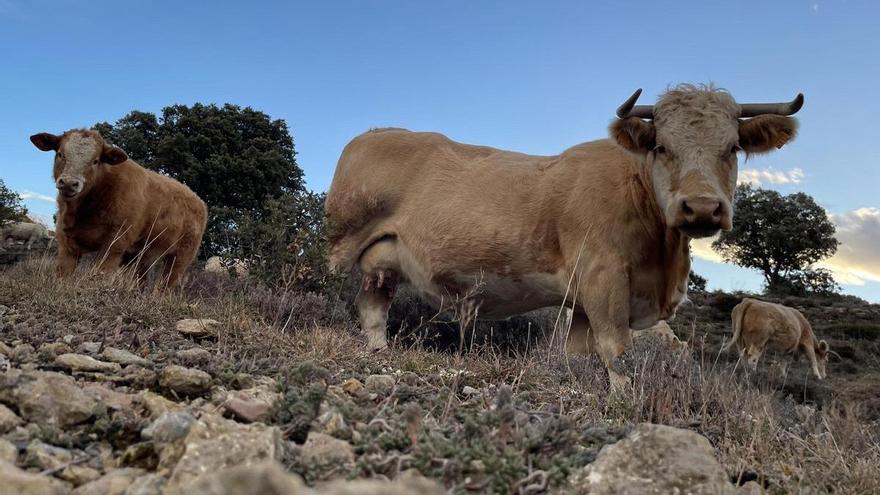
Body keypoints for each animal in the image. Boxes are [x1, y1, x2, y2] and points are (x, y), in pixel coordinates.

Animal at [29, 130, 210, 288]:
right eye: (60, 154)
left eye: (95, 161)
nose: (69, 183)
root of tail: (197, 199)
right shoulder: (66, 243)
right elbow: (63, 275)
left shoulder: (115, 244)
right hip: (145, 257)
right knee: (142, 281)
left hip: (181, 257)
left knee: (166, 286)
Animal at [324, 85, 804, 386]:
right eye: (662, 146)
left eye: (733, 147)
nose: (702, 207)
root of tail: (373, 134)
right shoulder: (603, 278)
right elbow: (618, 353)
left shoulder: (585, 301)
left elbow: (579, 356)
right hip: (339, 244)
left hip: (382, 263)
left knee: (373, 309)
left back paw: (379, 355)